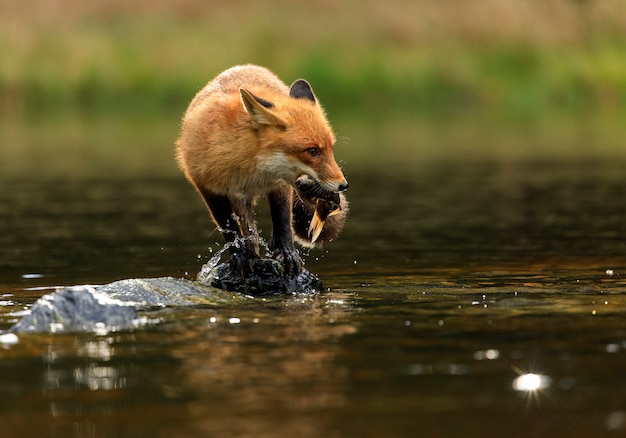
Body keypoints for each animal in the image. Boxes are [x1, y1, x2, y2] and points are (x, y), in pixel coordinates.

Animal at [176, 65, 348, 276]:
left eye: (331, 148)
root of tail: (249, 66)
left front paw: (287, 253)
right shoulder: (206, 185)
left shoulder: (280, 185)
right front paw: (240, 255)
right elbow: (228, 226)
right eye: (313, 151)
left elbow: (282, 220)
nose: (343, 185)